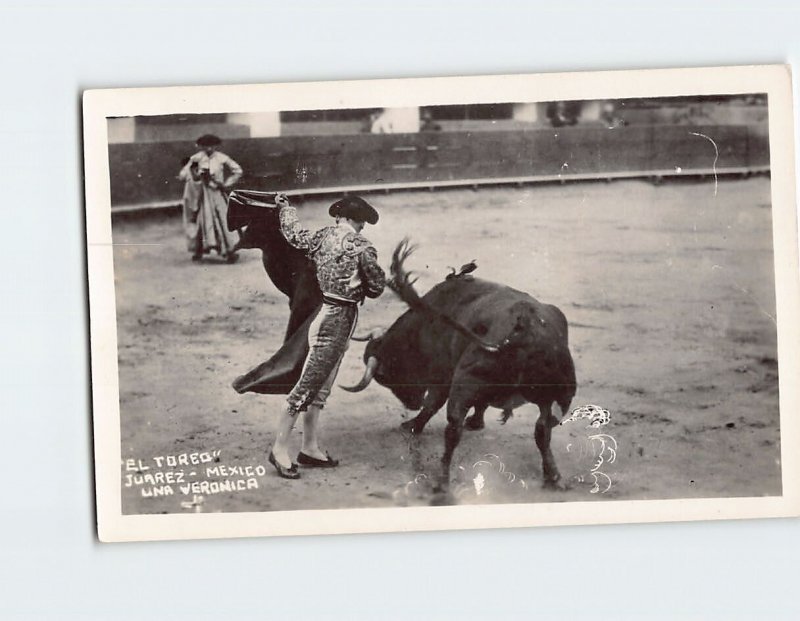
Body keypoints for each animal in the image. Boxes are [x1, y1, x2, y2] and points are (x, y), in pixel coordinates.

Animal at [342, 240, 576, 486]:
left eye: (384, 377)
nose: (411, 405)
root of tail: (525, 327)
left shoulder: (442, 375)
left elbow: (433, 404)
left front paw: (413, 425)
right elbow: (479, 404)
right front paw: (476, 421)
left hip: (464, 386)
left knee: (453, 428)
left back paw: (441, 477)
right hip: (559, 396)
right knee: (543, 429)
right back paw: (553, 475)